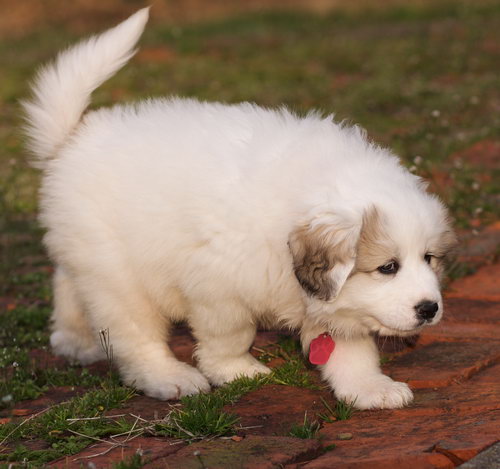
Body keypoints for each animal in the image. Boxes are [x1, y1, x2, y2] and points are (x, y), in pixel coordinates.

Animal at [21, 9, 456, 408]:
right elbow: (230, 336)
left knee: (67, 283)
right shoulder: (217, 288)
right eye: (387, 267)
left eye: (429, 258)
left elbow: (351, 347)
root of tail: (73, 139)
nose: (429, 308)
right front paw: (236, 371)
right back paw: (170, 377)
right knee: (135, 334)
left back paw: (74, 339)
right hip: (118, 273)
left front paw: (370, 388)